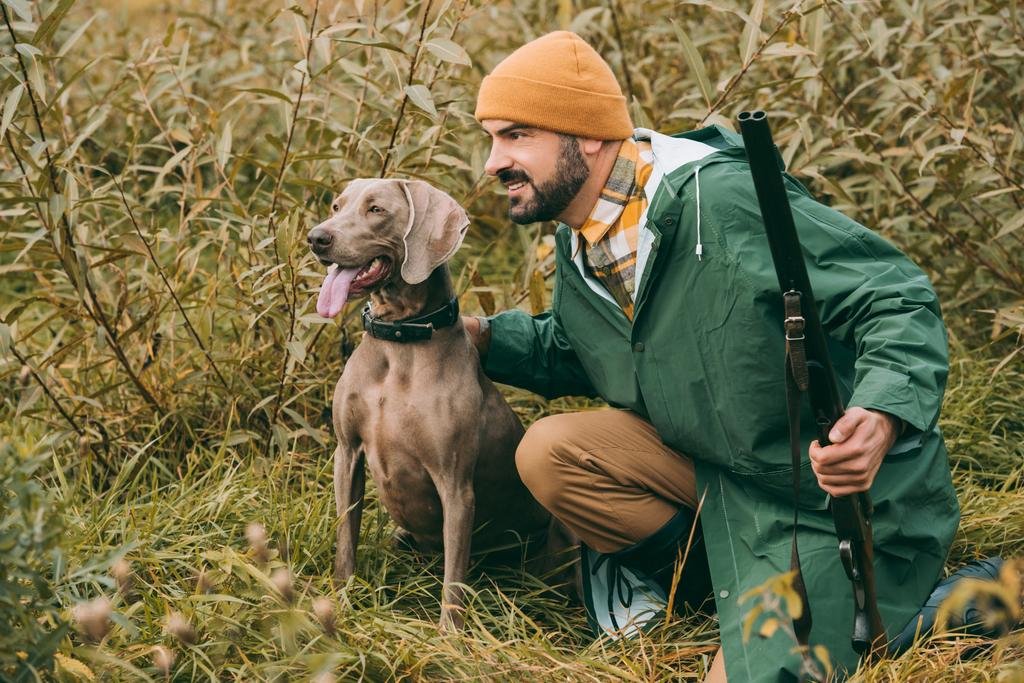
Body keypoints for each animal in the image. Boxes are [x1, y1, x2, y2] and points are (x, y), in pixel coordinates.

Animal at [307, 178, 557, 630]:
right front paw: (341, 601)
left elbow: (454, 577)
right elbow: (345, 540)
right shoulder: (346, 454)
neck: (399, 339)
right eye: (336, 206)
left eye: (376, 210)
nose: (317, 237)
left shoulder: (456, 485)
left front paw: (449, 636)